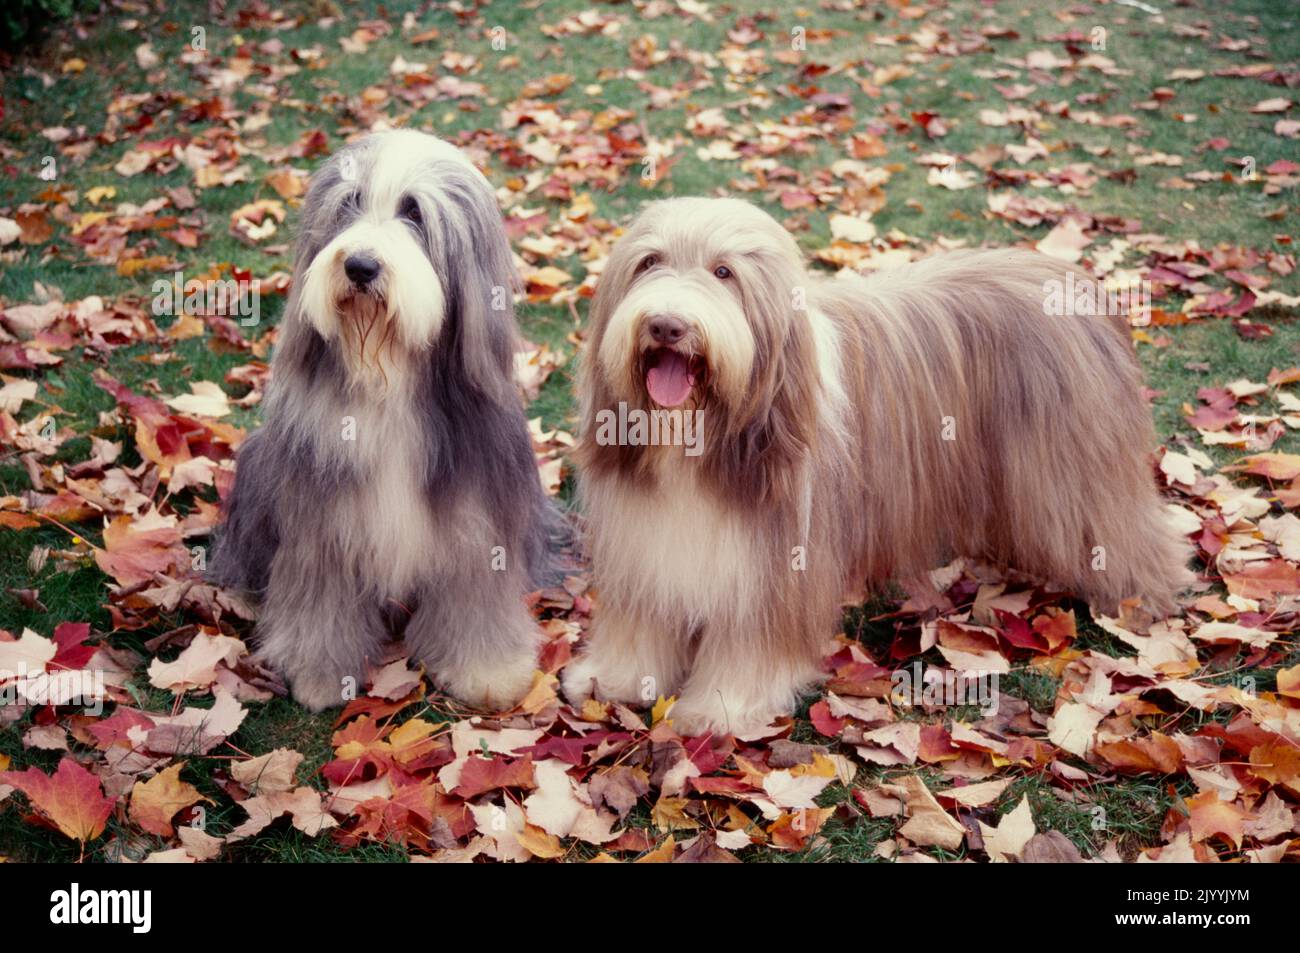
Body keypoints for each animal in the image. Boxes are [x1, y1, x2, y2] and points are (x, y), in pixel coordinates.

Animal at [213, 130, 559, 712]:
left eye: (414, 211)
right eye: (349, 203)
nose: (359, 266)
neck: (388, 377)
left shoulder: (476, 517)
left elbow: (476, 594)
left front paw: (487, 671)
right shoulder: (321, 519)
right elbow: (320, 598)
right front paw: (318, 673)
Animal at [564, 197, 1190, 733]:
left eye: (724, 273)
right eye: (650, 262)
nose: (666, 324)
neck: (701, 432)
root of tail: (1075, 281)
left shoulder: (779, 563)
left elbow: (753, 642)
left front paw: (722, 707)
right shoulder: (648, 544)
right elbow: (641, 620)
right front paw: (613, 679)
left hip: (1075, 472)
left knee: (1121, 531)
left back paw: (1143, 601)